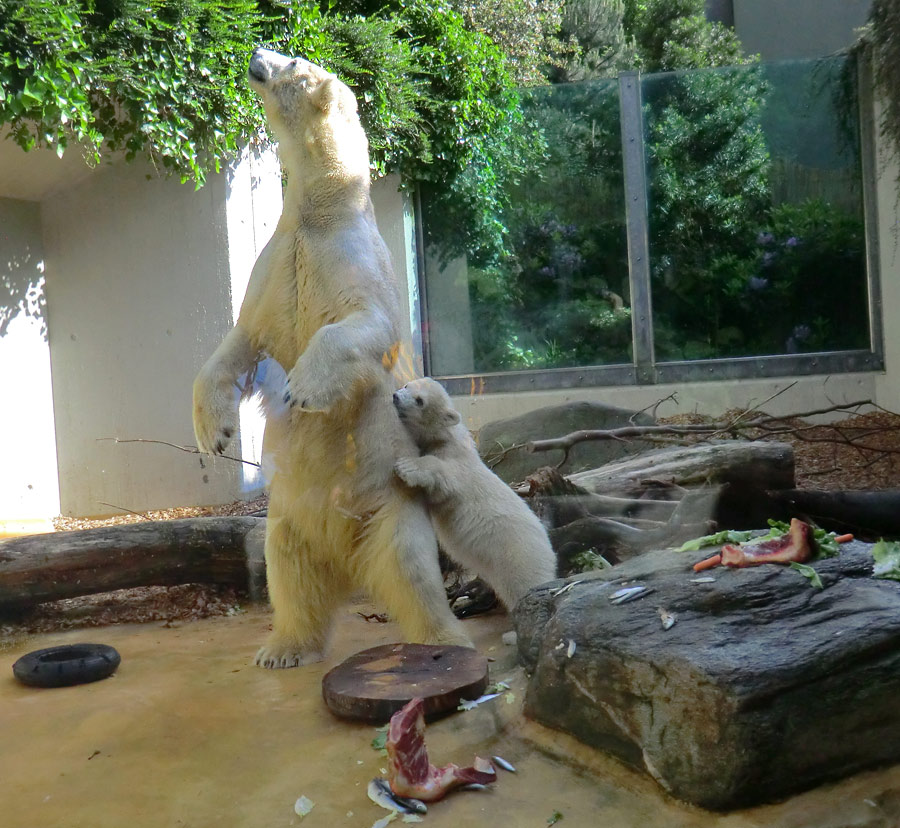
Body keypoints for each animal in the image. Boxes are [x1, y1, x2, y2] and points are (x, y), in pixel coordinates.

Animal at [192, 48, 472, 668]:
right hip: (288, 520)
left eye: (294, 60)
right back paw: (282, 648)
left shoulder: (351, 260)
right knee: (289, 572)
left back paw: (446, 640)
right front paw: (215, 433)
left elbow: (366, 323)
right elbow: (239, 341)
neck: (321, 212)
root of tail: (351, 566)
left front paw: (303, 387)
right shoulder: (276, 264)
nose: (256, 54)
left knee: (412, 572)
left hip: (390, 510)